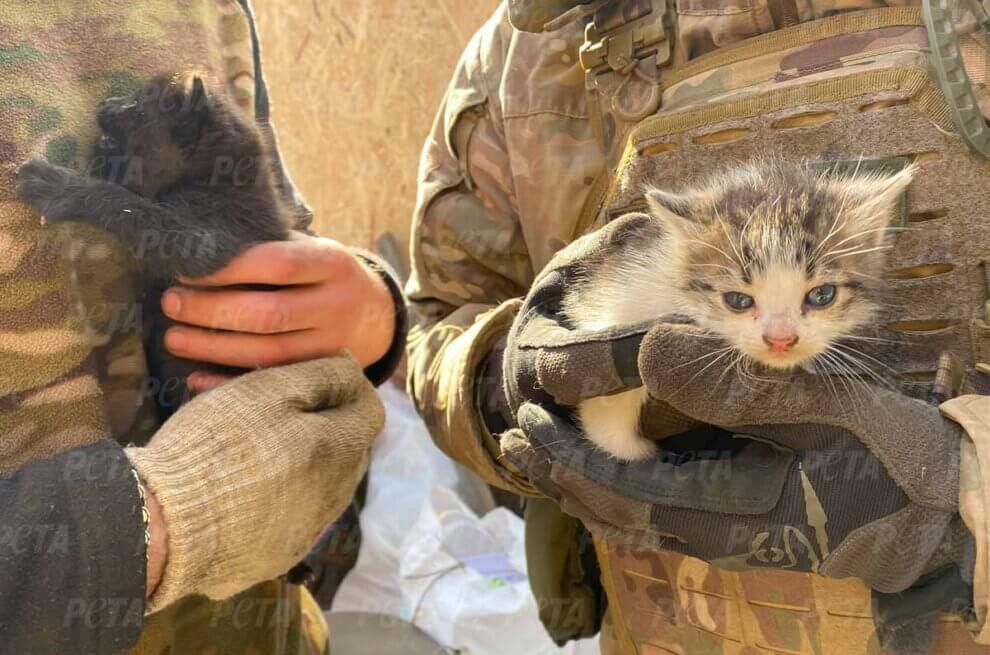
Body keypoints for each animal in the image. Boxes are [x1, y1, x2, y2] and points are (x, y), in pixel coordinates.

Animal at [16, 72, 294, 420]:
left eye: (137, 108)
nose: (107, 102)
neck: (213, 178)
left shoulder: (209, 235)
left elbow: (128, 205)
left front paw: (59, 187)